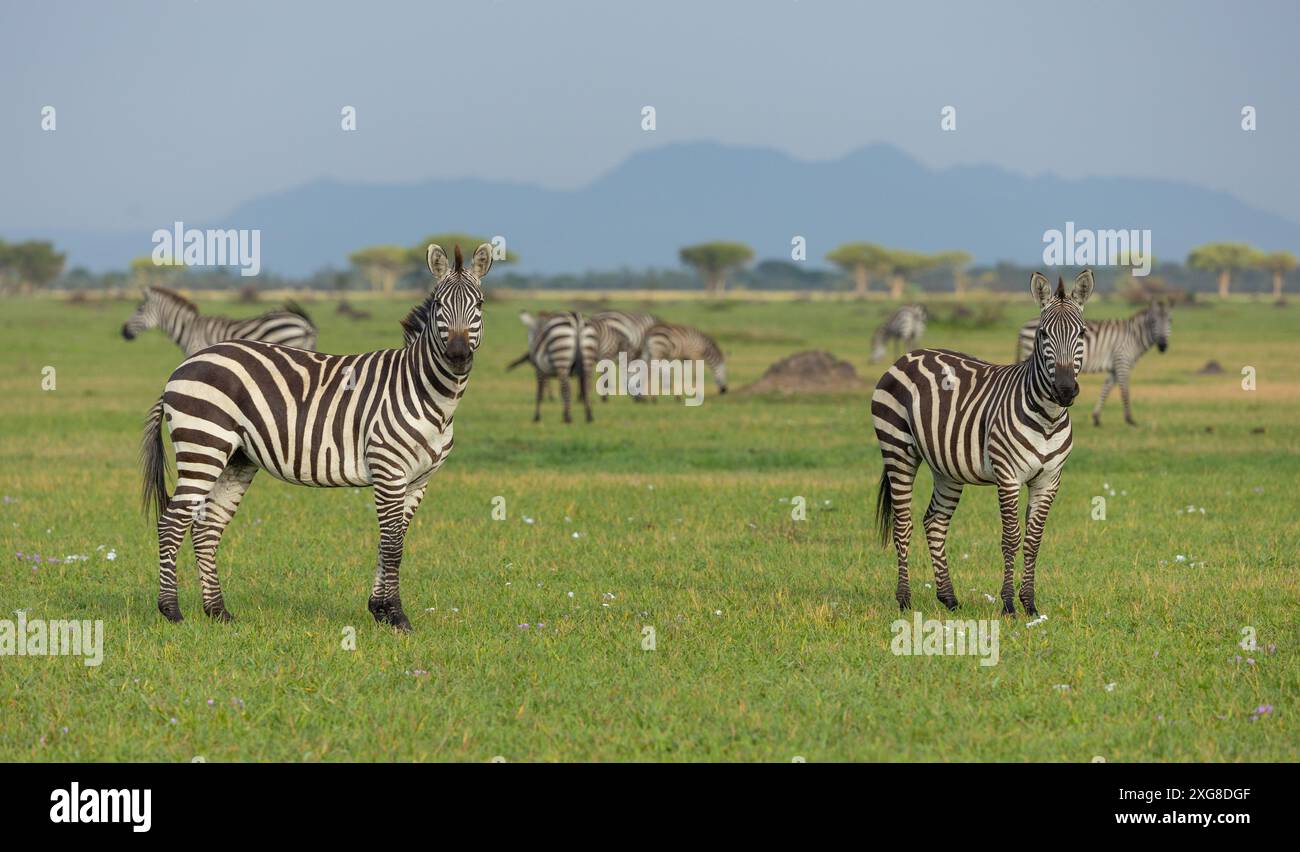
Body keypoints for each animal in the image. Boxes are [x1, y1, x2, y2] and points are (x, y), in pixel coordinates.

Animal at [868, 270, 1092, 616]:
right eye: (1043, 334)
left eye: (1081, 333)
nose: (1066, 390)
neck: (1048, 418)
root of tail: (908, 355)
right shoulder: (1009, 476)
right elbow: (1011, 538)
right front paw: (1009, 605)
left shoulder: (1049, 481)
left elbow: (1034, 540)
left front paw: (1030, 604)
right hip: (897, 449)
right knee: (902, 524)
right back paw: (904, 599)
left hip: (945, 466)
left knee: (935, 523)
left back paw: (948, 598)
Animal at [1008, 303, 1175, 429]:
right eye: (1153, 322)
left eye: (1170, 321)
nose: (1163, 346)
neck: (1133, 336)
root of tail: (1023, 326)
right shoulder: (1122, 361)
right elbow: (1124, 390)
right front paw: (1130, 419)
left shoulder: (1114, 368)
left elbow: (1106, 389)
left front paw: (1096, 418)